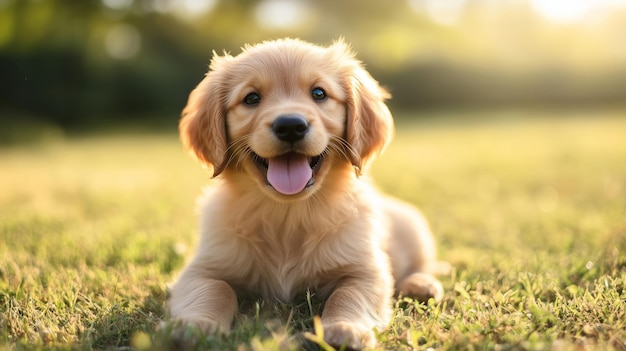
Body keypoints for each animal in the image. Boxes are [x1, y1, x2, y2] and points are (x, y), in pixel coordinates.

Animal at [169, 38, 444, 351]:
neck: (288, 214)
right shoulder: (203, 267)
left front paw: (346, 328)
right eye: (251, 98)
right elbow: (214, 289)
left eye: (319, 93)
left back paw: (421, 284)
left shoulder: (365, 269)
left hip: (415, 227)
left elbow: (348, 295)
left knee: (421, 265)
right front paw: (195, 325)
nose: (290, 125)